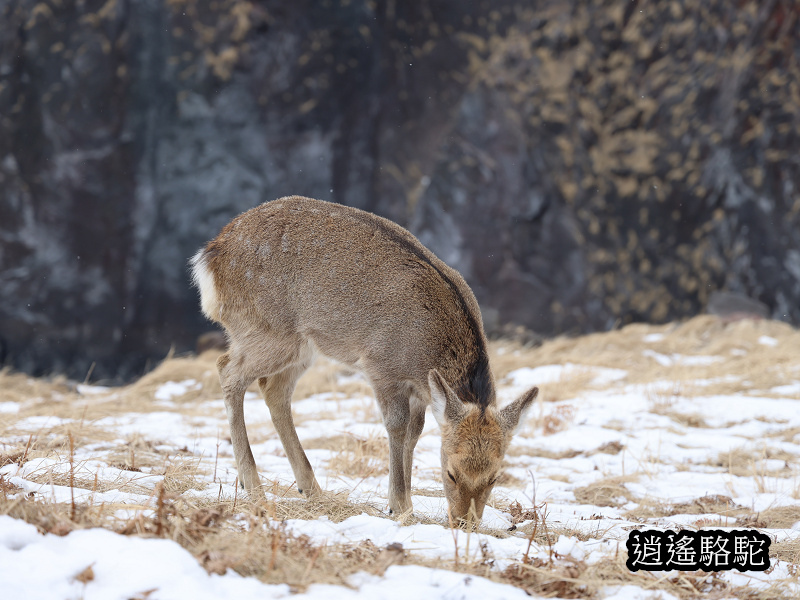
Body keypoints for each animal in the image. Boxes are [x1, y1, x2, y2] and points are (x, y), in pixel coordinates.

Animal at [190, 196, 536, 524]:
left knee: (273, 389)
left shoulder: (420, 389)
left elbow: (416, 432)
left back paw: (312, 490)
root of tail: (210, 255)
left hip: (302, 344)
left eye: (495, 477)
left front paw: (403, 502)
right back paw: (255, 489)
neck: (424, 357)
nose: (466, 523)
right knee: (227, 370)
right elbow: (396, 426)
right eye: (451, 472)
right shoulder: (381, 366)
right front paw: (399, 506)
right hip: (266, 329)